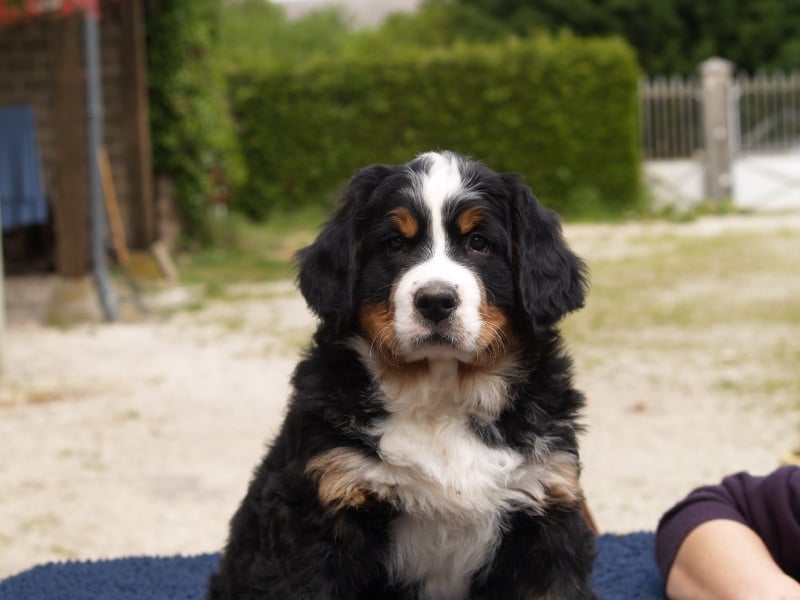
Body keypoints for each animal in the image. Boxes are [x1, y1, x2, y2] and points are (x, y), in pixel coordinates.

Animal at [208, 151, 596, 599]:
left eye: (479, 243)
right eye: (394, 244)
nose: (436, 301)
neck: (441, 395)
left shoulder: (547, 512)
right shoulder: (321, 515)